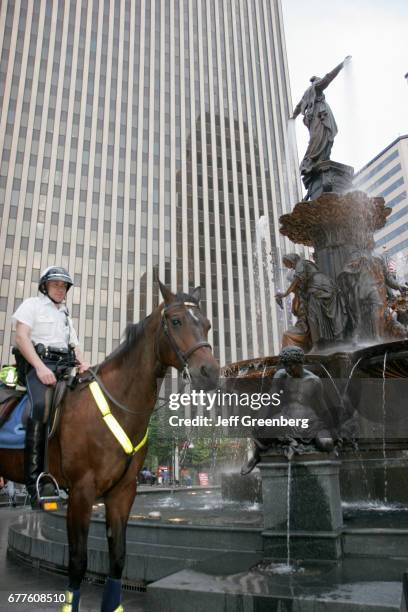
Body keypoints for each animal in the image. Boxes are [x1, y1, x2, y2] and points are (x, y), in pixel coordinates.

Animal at [0, 282, 220, 612]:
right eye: (176, 321)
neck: (118, 403)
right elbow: (78, 561)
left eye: (206, 325)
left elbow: (118, 557)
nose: (210, 373)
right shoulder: (81, 492)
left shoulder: (122, 492)